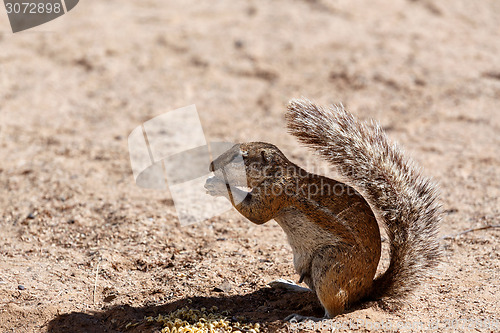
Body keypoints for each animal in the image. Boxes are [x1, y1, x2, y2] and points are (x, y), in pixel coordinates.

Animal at [205, 98, 440, 320]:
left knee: (333, 311)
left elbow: (256, 214)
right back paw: (290, 285)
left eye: (241, 157)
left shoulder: (275, 193)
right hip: (306, 265)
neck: (278, 172)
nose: (211, 166)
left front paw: (218, 185)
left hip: (328, 264)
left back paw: (306, 317)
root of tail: (366, 290)